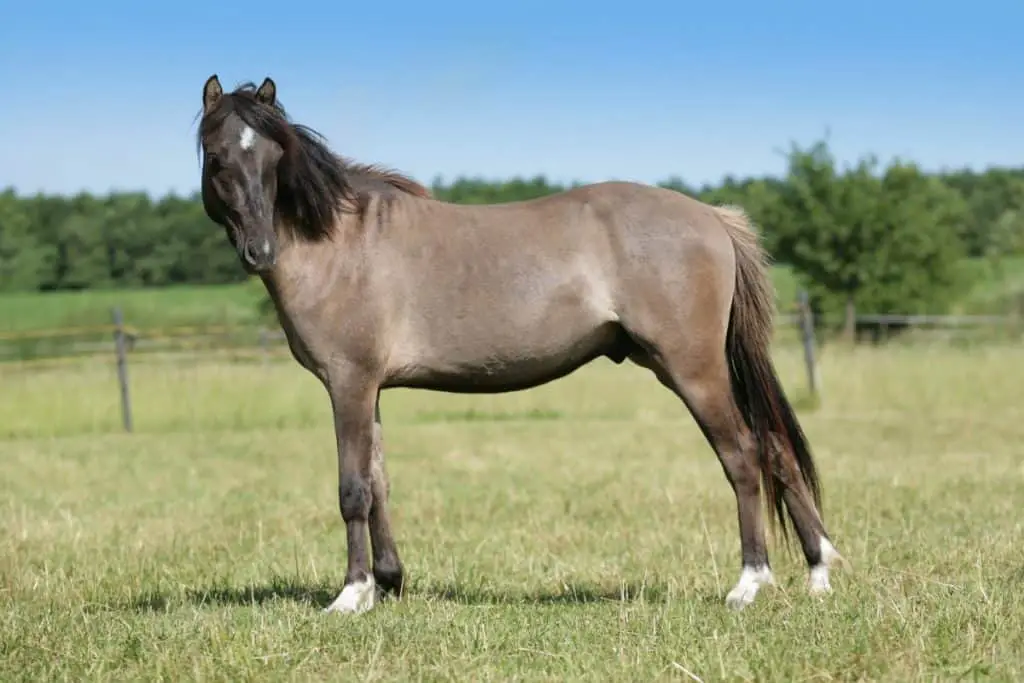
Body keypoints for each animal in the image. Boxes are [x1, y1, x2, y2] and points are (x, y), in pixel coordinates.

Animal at [195, 73, 843, 614]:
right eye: (220, 156)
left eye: (275, 155)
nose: (260, 251)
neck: (339, 241)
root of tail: (711, 217)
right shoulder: (369, 388)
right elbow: (379, 482)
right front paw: (389, 583)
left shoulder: (348, 383)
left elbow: (353, 489)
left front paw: (352, 595)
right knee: (776, 450)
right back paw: (818, 573)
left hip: (694, 370)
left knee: (743, 456)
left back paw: (749, 583)